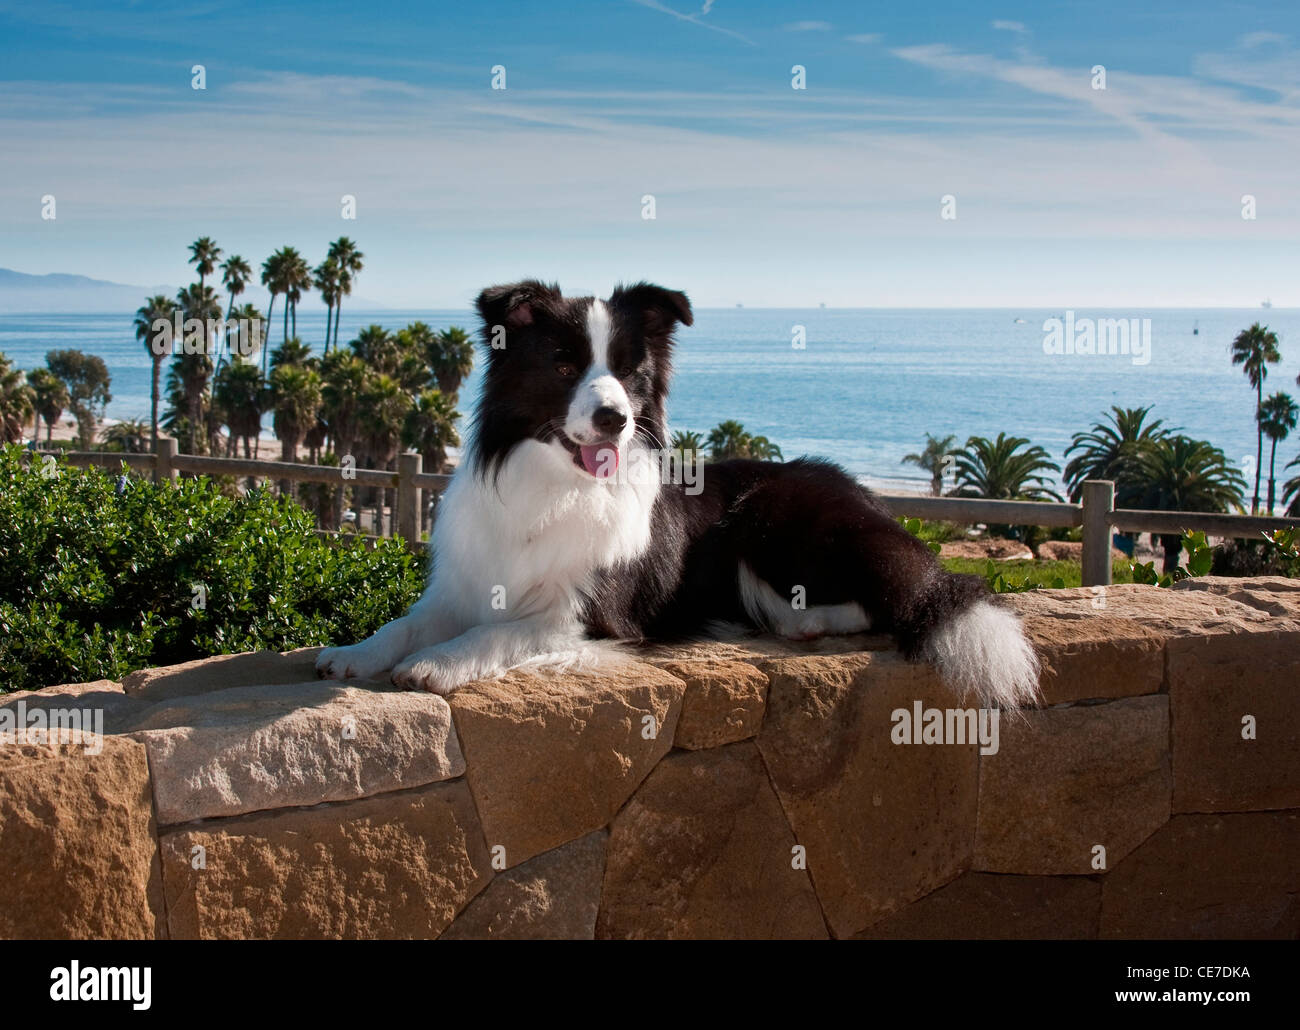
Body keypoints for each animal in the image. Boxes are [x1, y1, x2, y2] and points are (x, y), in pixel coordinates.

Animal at [319, 279, 1040, 707]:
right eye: (564, 365)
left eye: (630, 372)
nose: (615, 418)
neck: (556, 484)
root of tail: (863, 495)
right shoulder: (463, 586)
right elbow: (405, 623)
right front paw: (356, 654)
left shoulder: (588, 613)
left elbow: (498, 634)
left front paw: (437, 664)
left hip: (773, 516)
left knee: (887, 600)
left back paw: (802, 621)